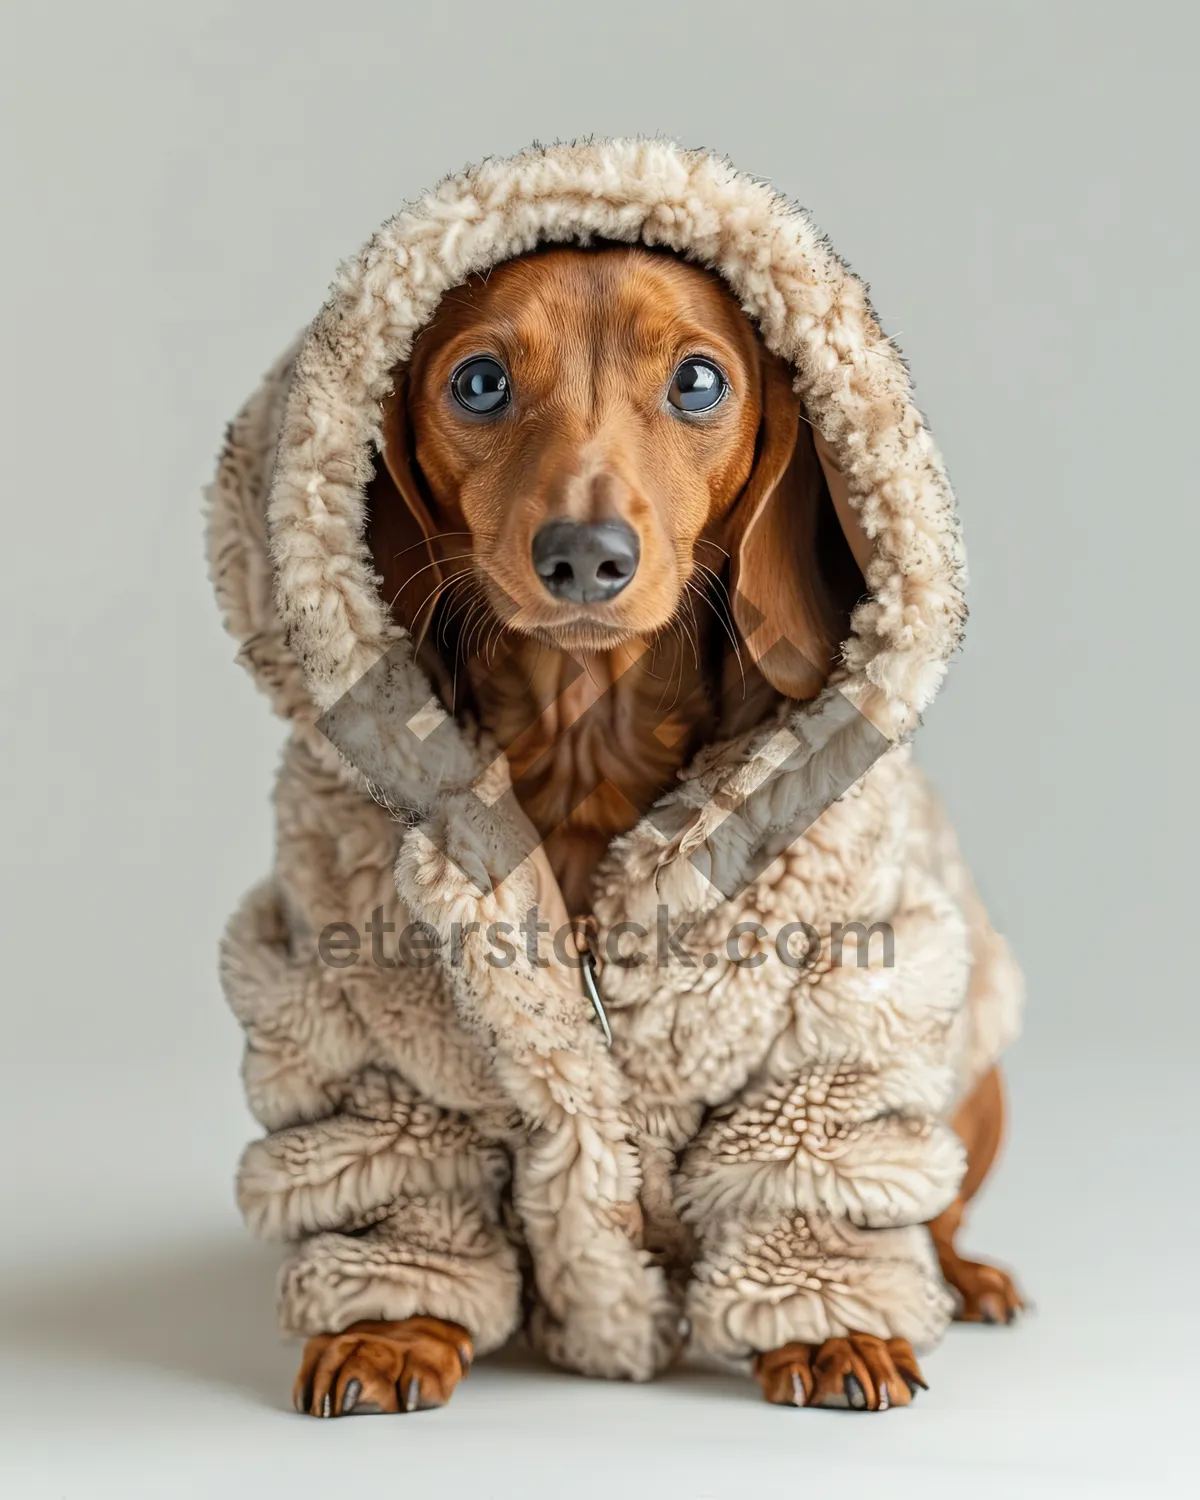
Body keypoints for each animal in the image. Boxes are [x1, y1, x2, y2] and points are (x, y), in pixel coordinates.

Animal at [291, 246, 1020, 1416]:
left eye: (699, 381)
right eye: (479, 382)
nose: (585, 555)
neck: (587, 755)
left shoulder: (836, 1016)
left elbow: (811, 1173)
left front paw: (827, 1326)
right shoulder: (374, 1034)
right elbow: (397, 1183)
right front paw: (392, 1324)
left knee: (937, 1208)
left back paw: (964, 1276)